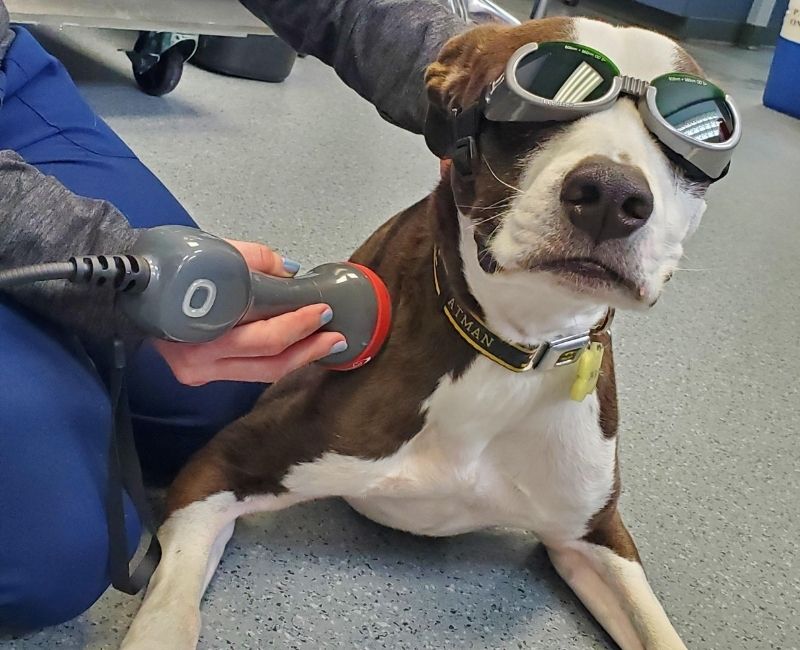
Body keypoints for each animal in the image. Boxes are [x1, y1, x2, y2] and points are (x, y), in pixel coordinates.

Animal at [123, 16, 712, 648]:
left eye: (701, 133)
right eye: (541, 88)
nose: (611, 194)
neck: (509, 349)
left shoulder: (594, 534)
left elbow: (658, 629)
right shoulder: (217, 469)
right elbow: (169, 611)